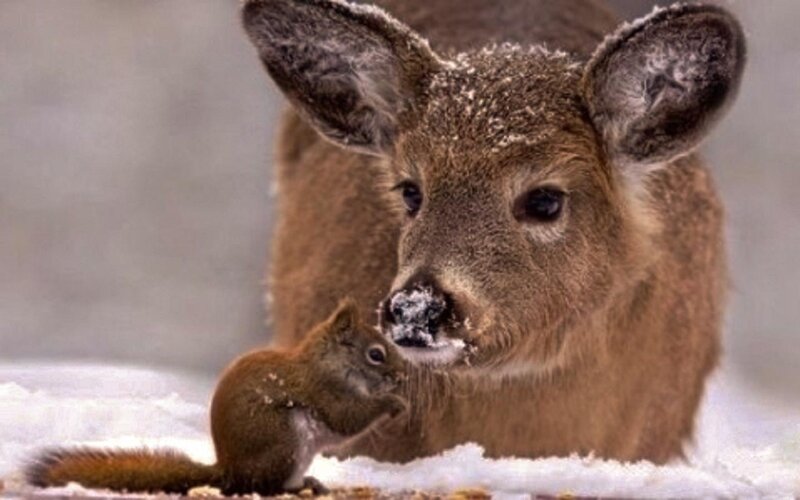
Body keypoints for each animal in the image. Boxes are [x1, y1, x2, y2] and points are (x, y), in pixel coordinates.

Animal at [25, 300, 408, 496]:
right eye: (376, 354)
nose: (401, 377)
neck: (329, 364)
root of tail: (228, 471)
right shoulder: (324, 391)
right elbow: (347, 419)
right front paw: (394, 404)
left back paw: (310, 483)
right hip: (284, 441)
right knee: (266, 488)